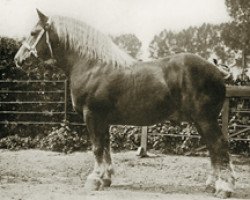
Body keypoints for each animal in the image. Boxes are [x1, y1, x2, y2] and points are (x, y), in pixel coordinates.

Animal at [14, 9, 235, 198]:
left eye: (33, 32)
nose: (18, 59)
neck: (92, 66)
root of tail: (217, 71)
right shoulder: (103, 120)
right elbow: (105, 146)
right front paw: (106, 178)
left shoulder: (91, 115)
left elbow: (96, 147)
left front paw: (94, 179)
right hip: (200, 121)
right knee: (212, 148)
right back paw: (212, 184)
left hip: (205, 119)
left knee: (219, 145)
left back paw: (224, 188)